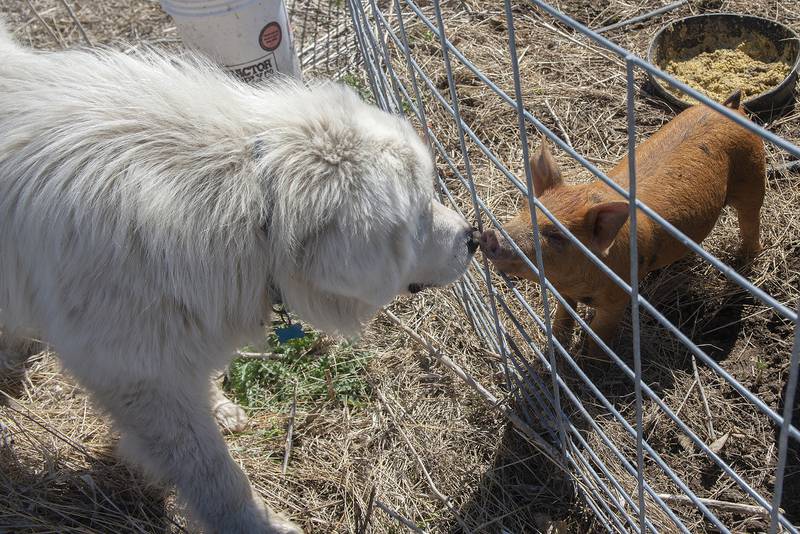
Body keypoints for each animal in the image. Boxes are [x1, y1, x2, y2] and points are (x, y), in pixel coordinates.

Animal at [0, 21, 476, 534]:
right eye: (420, 214)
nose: (473, 237)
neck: (251, 206)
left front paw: (217, 405)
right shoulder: (137, 376)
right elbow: (214, 472)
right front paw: (255, 524)